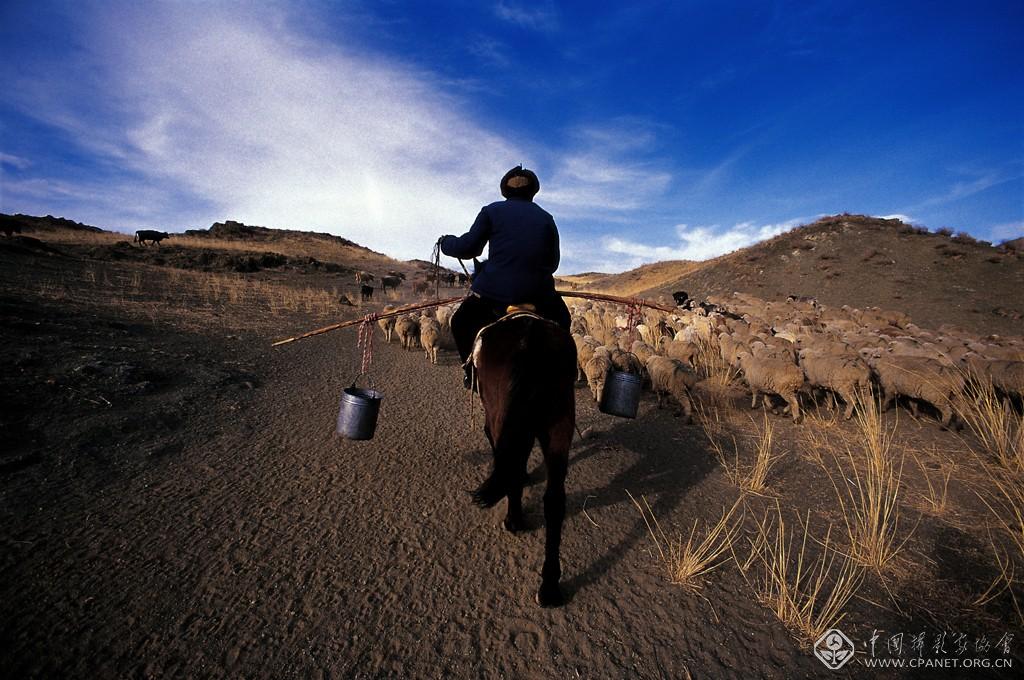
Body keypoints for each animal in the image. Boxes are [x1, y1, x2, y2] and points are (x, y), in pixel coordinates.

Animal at [471, 311, 577, 606]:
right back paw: (550, 587)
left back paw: (514, 520)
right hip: (560, 424)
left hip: (500, 414)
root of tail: (529, 338)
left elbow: (509, 462)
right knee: (554, 501)